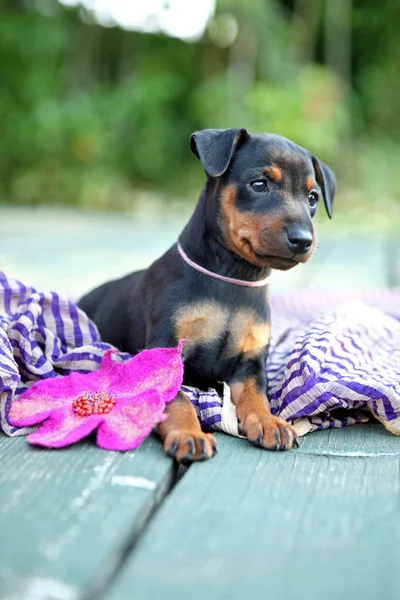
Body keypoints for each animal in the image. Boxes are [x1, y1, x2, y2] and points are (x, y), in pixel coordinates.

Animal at [78, 127, 334, 464]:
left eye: (313, 197)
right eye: (259, 184)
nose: (303, 240)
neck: (233, 278)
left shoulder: (250, 364)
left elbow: (257, 396)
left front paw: (269, 422)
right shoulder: (165, 355)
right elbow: (179, 400)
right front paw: (189, 434)